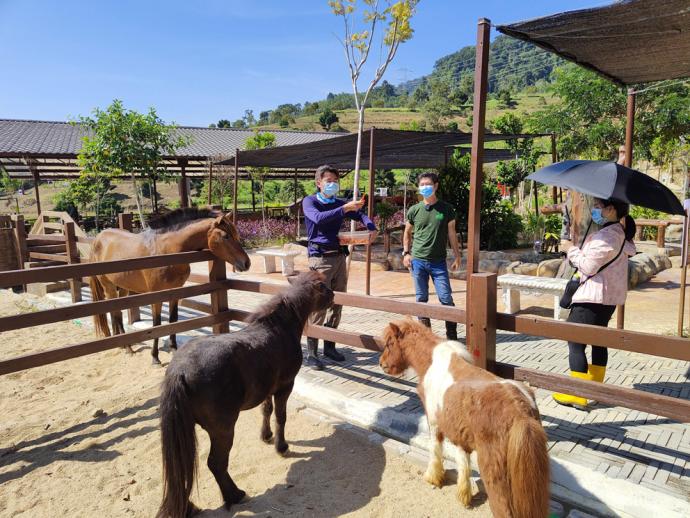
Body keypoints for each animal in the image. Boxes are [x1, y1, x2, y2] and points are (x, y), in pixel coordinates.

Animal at [88, 208, 250, 366]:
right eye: (226, 236)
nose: (246, 263)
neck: (166, 251)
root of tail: (97, 238)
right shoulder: (156, 296)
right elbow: (157, 324)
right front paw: (155, 357)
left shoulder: (175, 293)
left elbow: (173, 319)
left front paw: (173, 349)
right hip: (108, 286)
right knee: (115, 313)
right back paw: (128, 347)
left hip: (122, 287)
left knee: (117, 311)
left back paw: (124, 343)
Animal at [156, 272, 334, 518]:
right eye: (324, 286)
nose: (334, 295)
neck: (278, 328)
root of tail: (179, 371)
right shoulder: (285, 386)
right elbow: (280, 416)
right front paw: (281, 447)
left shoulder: (267, 389)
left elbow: (266, 411)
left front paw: (266, 436)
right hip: (223, 430)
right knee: (216, 464)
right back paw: (235, 495)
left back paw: (190, 507)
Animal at [376, 320, 548, 518]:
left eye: (390, 343)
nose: (381, 364)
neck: (432, 363)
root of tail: (521, 413)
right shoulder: (462, 437)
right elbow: (463, 463)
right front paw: (464, 495)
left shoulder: (434, 424)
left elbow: (435, 450)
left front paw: (433, 478)